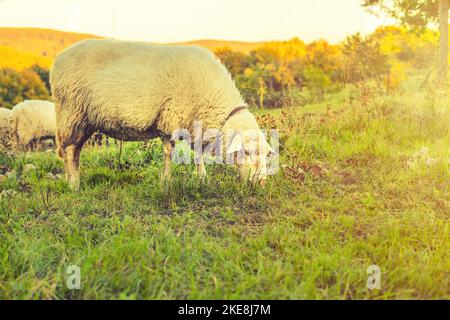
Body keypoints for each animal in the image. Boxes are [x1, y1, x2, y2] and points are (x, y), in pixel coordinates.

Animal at [50, 39, 272, 190]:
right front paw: (166, 181)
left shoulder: (195, 123)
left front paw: (202, 178)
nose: (261, 183)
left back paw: (73, 178)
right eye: (246, 152)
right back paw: (74, 184)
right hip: (71, 112)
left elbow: (198, 154)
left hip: (84, 120)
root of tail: (58, 59)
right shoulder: (171, 118)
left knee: (75, 150)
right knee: (68, 150)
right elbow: (169, 152)